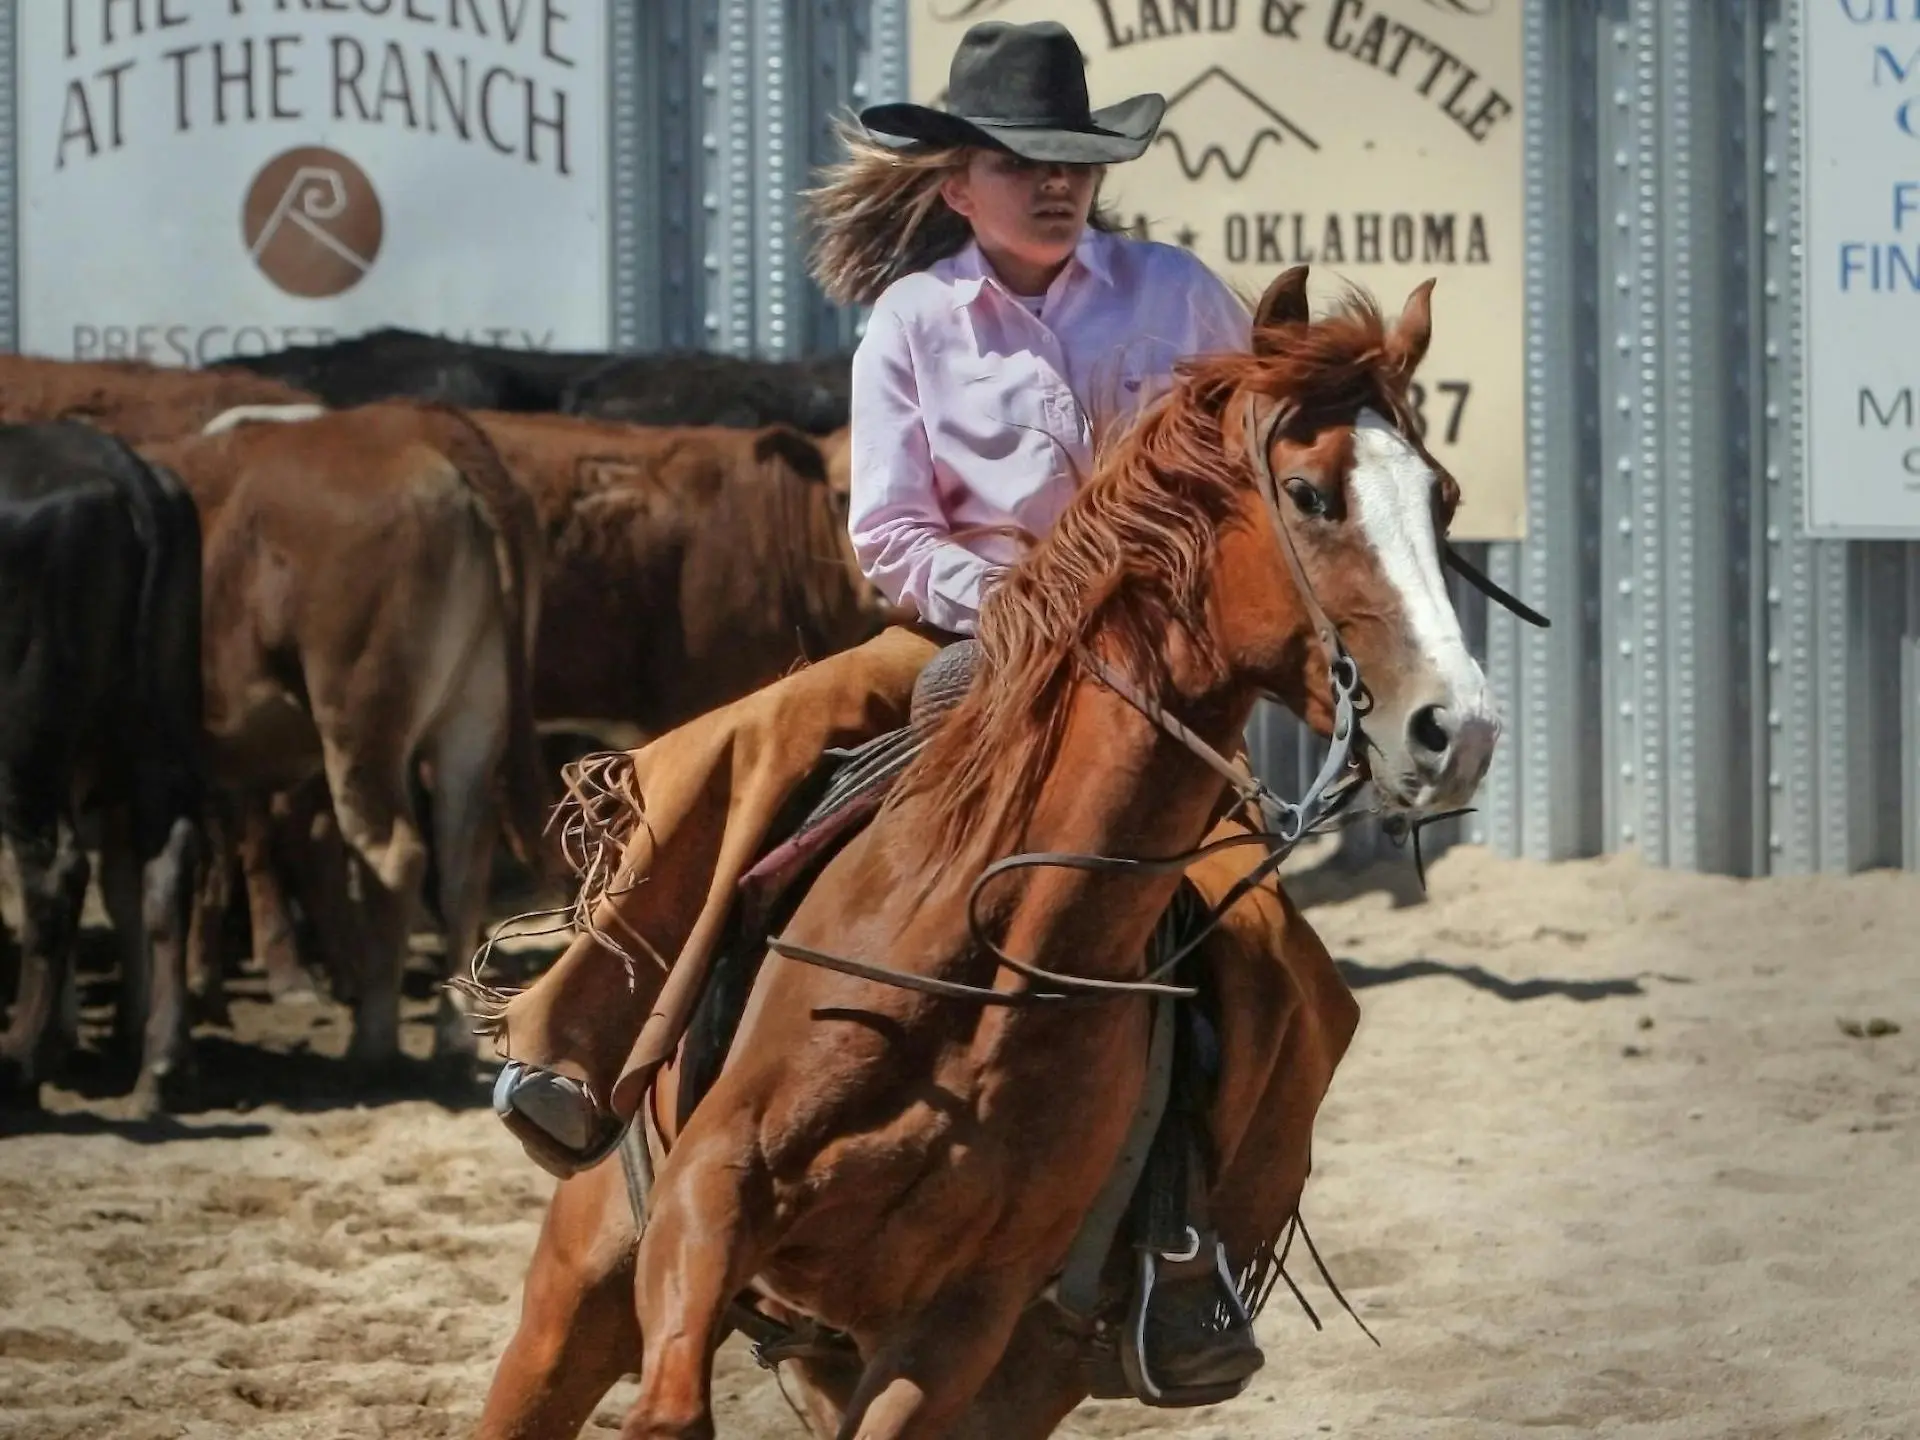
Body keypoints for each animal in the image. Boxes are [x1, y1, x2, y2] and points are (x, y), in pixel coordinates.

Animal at [0, 416, 204, 1113]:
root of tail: (120, 465)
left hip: (26, 744)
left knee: (53, 877)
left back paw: (22, 1058)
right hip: (157, 730)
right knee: (168, 867)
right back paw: (158, 1067)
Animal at [137, 403, 549, 1082]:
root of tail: (418, 423)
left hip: (360, 717)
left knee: (394, 856)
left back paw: (371, 1041)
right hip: (473, 715)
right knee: (463, 863)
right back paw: (451, 1037)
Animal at [472, 272, 1489, 1440]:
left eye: (1442, 499)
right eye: (1312, 494)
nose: (1457, 729)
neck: (981, 956)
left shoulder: (966, 1321)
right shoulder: (706, 1196)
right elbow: (673, 1400)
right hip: (576, 1292)